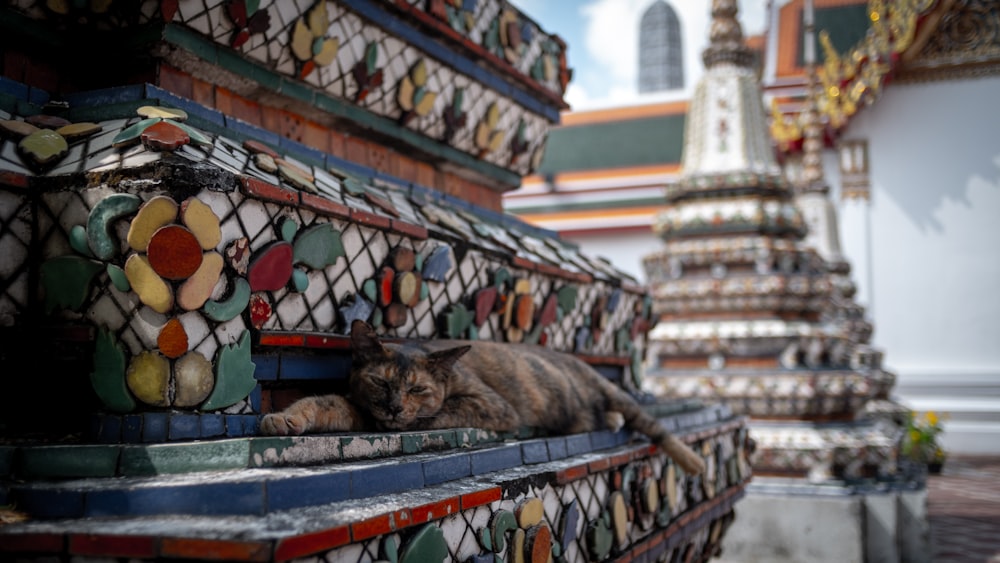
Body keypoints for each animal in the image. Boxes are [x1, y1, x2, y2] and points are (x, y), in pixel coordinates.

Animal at [262, 320, 708, 474]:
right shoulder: (356, 406)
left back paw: (693, 462)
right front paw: (284, 418)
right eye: (380, 383)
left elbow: (440, 412)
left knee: (652, 426)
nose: (393, 408)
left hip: (616, 396)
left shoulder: (491, 406)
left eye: (418, 389)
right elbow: (323, 403)